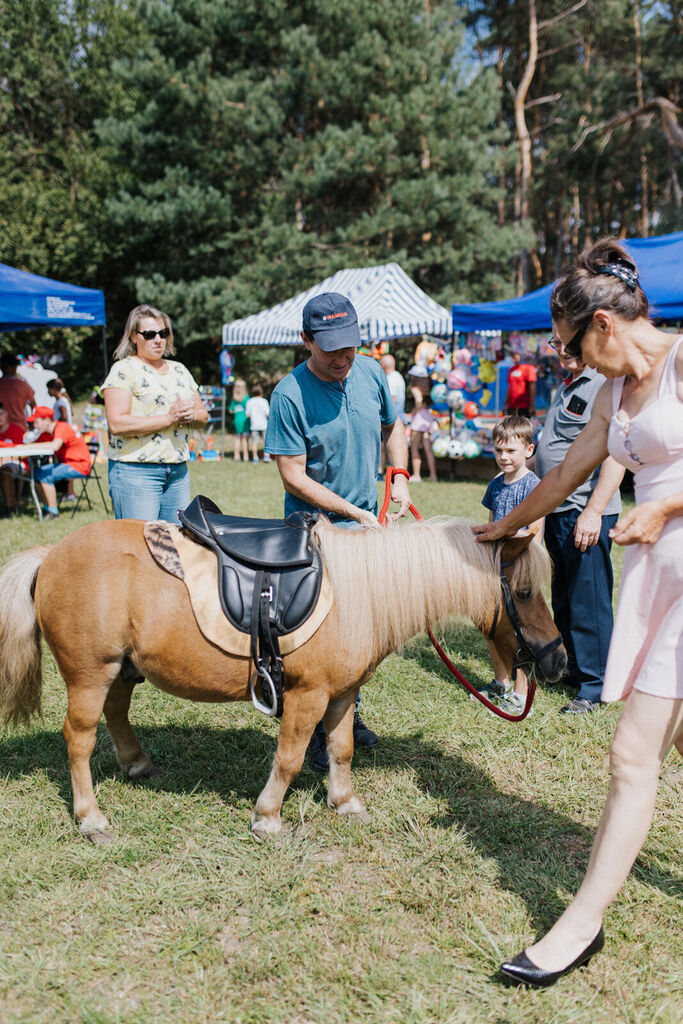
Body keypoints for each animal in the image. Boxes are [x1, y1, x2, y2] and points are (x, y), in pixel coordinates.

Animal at [0, 516, 565, 843]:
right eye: (526, 592)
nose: (559, 662)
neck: (358, 592)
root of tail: (50, 554)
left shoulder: (342, 694)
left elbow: (341, 750)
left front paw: (344, 802)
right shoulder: (308, 694)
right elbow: (291, 757)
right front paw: (268, 816)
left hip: (121, 670)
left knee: (117, 714)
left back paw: (137, 765)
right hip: (90, 674)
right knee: (78, 739)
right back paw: (89, 816)